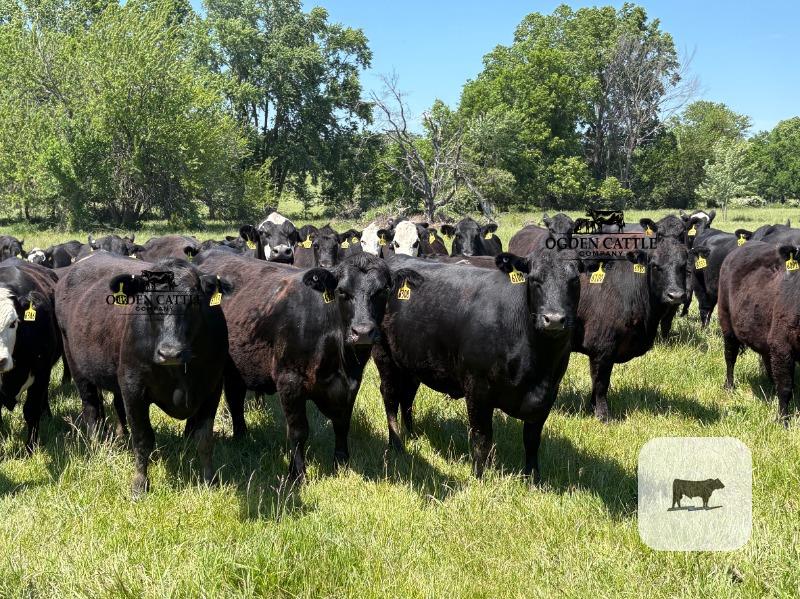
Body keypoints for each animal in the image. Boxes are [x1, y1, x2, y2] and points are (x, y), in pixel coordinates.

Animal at [55, 253, 232, 497]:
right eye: (148, 302)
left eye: (194, 301)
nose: (170, 352)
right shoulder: (134, 388)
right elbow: (142, 438)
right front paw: (140, 484)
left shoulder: (212, 387)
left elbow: (204, 438)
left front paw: (209, 480)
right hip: (77, 366)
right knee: (92, 410)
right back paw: (97, 447)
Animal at [195, 250, 402, 480]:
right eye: (341, 291)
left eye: (382, 291)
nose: (363, 332)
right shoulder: (289, 381)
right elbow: (298, 431)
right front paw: (297, 474)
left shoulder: (351, 383)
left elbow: (342, 425)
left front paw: (341, 464)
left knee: (235, 398)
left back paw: (242, 437)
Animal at [372, 249, 585, 481]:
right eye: (535, 279)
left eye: (575, 280)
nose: (553, 319)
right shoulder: (477, 389)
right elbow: (481, 439)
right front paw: (479, 478)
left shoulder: (548, 394)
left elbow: (532, 441)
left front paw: (533, 479)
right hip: (384, 356)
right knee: (391, 396)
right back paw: (396, 444)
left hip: (411, 361)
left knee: (407, 396)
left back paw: (412, 434)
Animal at [573, 236, 688, 421]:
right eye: (655, 266)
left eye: (683, 266)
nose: (676, 295)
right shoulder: (602, 347)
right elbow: (601, 383)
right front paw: (603, 415)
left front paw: (592, 408)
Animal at [718, 241, 800, 422]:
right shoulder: (781, 344)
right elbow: (785, 387)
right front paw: (783, 420)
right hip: (726, 322)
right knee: (730, 357)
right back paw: (729, 386)